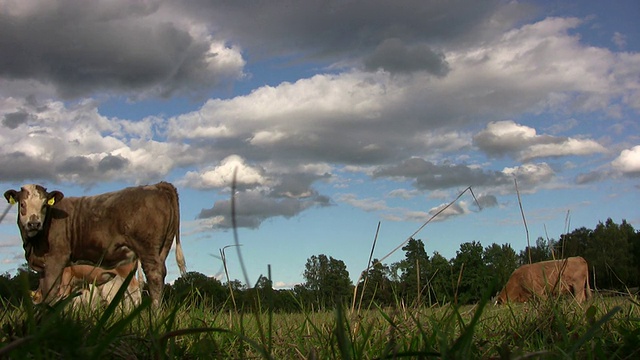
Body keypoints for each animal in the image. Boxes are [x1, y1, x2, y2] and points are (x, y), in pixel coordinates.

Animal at [4, 183, 185, 306]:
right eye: (22, 204)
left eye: (44, 205)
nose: (33, 223)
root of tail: (157, 186)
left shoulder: (57, 261)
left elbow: (51, 293)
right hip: (161, 249)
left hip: (146, 249)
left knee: (153, 279)